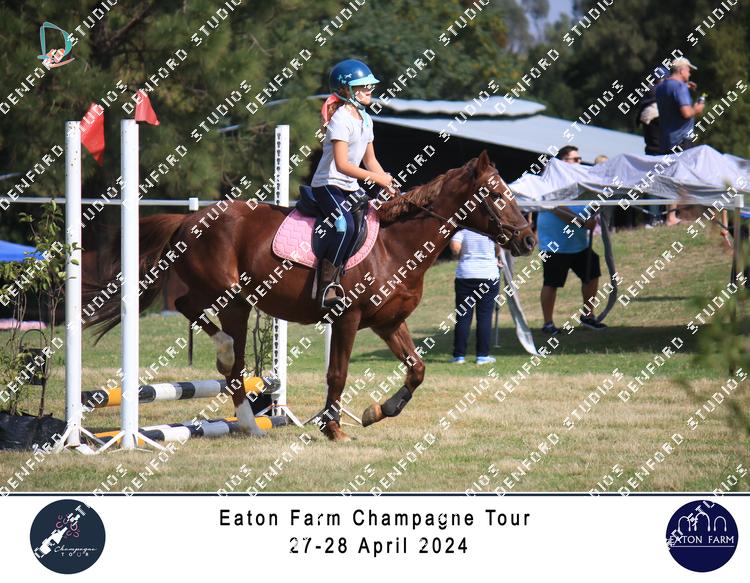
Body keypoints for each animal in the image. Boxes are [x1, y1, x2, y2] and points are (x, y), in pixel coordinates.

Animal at [84, 151, 535, 441]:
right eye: (497, 195)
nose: (528, 240)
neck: (396, 246)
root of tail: (190, 217)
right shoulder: (347, 318)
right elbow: (338, 374)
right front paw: (332, 428)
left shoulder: (389, 323)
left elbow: (417, 370)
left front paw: (376, 413)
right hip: (228, 294)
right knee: (198, 320)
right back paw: (233, 373)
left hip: (237, 301)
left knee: (229, 362)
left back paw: (249, 423)